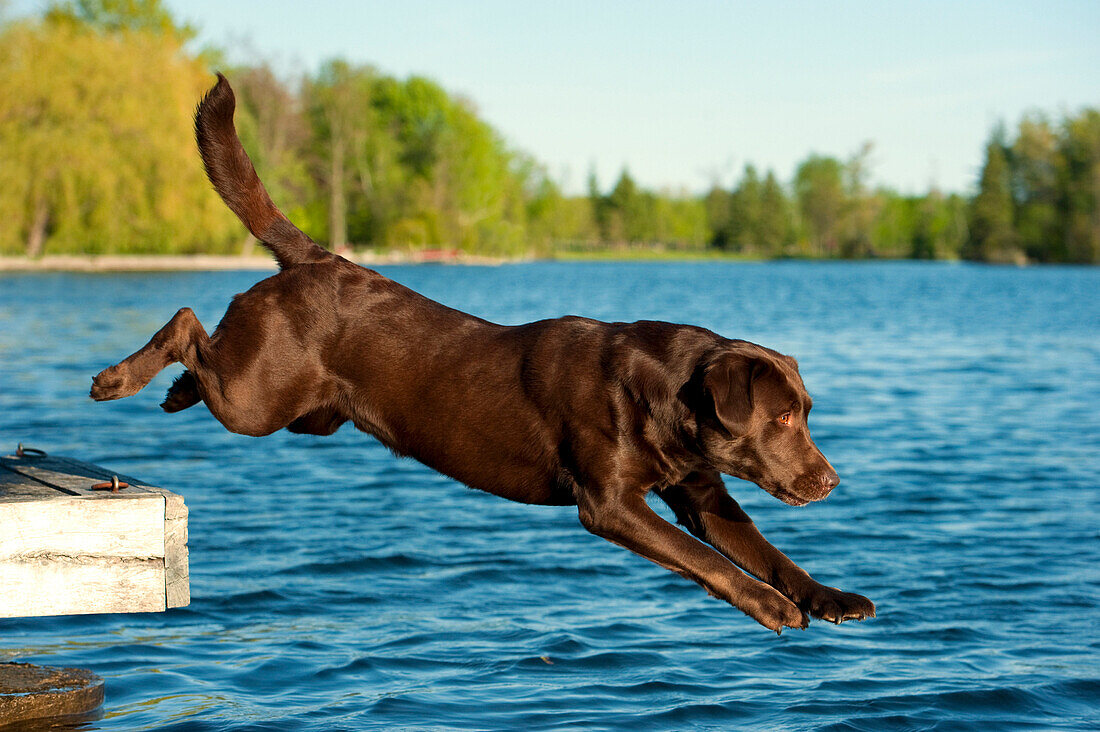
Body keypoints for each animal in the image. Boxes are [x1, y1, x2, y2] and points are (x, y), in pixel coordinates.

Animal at [90, 75, 871, 634]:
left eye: (804, 414)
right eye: (780, 419)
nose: (831, 481)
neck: (664, 397)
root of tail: (317, 257)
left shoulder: (703, 492)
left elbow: (762, 549)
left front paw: (829, 595)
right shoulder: (611, 503)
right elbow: (709, 562)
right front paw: (772, 607)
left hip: (302, 409)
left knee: (203, 356)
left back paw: (170, 392)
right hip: (259, 397)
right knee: (188, 325)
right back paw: (119, 379)